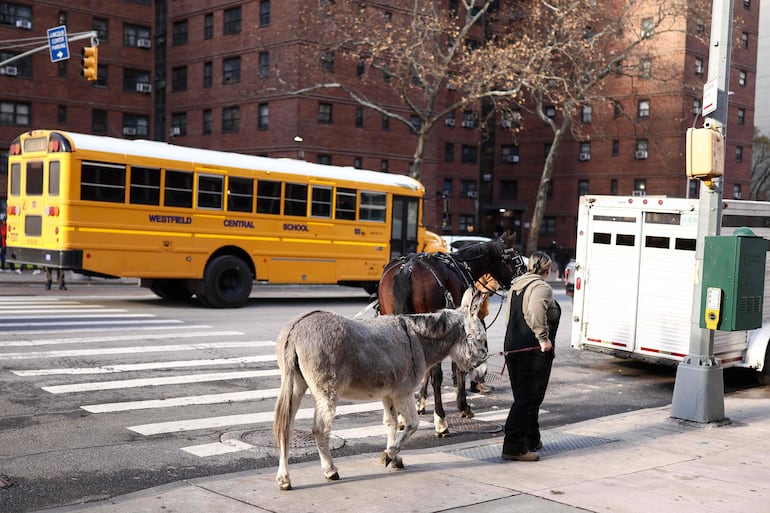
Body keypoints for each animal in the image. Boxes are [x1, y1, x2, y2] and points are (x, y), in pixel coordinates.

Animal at [273, 287, 487, 491]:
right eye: (482, 339)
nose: (481, 376)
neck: (419, 340)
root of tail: (296, 329)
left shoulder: (388, 394)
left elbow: (390, 423)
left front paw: (395, 458)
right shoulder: (404, 393)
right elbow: (412, 424)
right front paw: (388, 455)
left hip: (295, 385)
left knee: (286, 428)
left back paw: (284, 479)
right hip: (326, 392)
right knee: (320, 430)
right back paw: (330, 470)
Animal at [376, 234, 524, 436]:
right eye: (515, 258)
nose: (526, 273)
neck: (464, 264)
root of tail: (407, 270)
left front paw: (421, 402)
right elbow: (456, 368)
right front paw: (462, 406)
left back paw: (401, 417)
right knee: (437, 376)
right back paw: (441, 420)